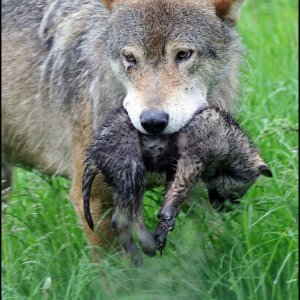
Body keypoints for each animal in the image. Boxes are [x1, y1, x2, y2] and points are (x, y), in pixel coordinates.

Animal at [2, 0, 245, 258]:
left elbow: (221, 241)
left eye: (183, 54)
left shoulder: (191, 189)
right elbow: (117, 267)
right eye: (130, 57)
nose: (152, 121)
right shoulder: (91, 200)